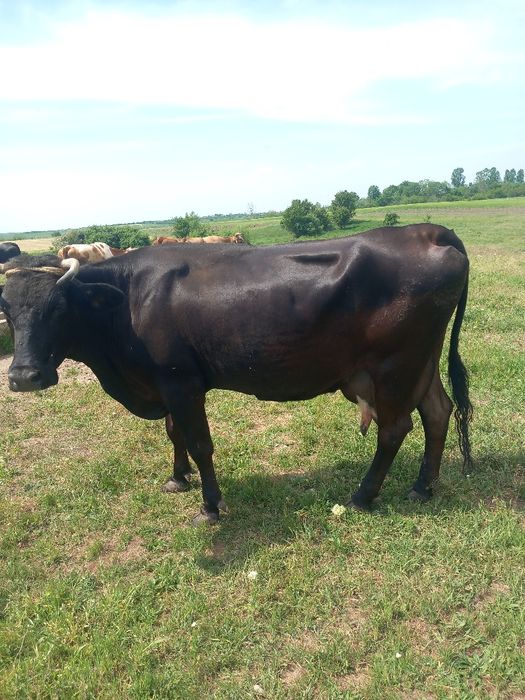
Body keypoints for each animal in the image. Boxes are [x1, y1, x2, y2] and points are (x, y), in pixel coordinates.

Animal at [0, 224, 472, 525]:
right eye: (7, 307)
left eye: (58, 307)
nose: (23, 376)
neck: (129, 300)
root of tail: (428, 230)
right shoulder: (167, 382)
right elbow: (174, 433)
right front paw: (177, 478)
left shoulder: (182, 382)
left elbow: (200, 444)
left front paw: (210, 506)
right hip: (421, 361)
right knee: (438, 412)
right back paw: (422, 487)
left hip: (395, 364)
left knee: (394, 428)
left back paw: (363, 496)